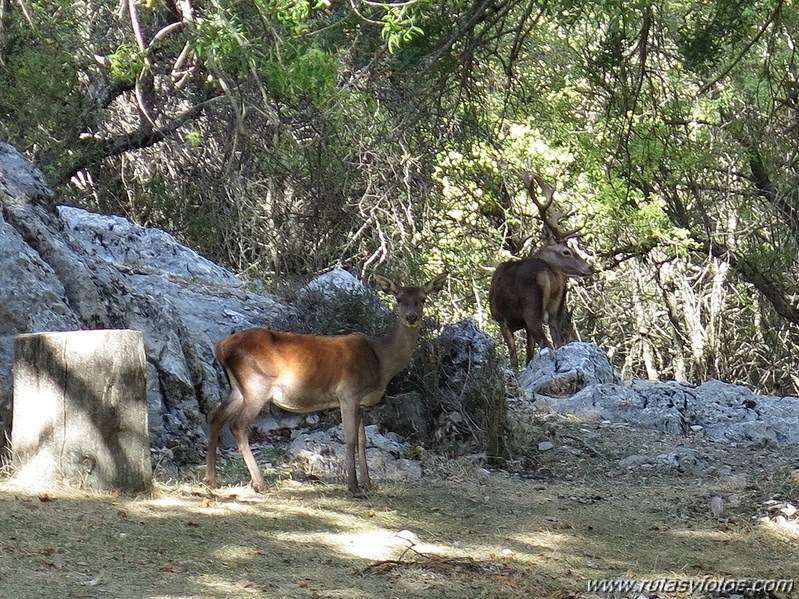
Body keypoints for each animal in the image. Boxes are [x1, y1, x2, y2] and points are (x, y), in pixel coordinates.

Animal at [205, 272, 450, 496]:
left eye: (423, 299)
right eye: (398, 299)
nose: (411, 317)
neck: (381, 362)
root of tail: (221, 346)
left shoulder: (362, 402)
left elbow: (363, 440)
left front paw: (369, 485)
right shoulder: (348, 393)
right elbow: (350, 440)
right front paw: (353, 487)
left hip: (238, 388)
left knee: (215, 416)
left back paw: (213, 480)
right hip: (257, 384)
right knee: (238, 425)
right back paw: (260, 483)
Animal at [488, 172, 592, 370]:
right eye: (566, 251)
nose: (590, 267)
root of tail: (550, 272)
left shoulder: (501, 319)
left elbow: (514, 357)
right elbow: (528, 355)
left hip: (532, 307)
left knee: (546, 344)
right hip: (555, 311)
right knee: (558, 342)